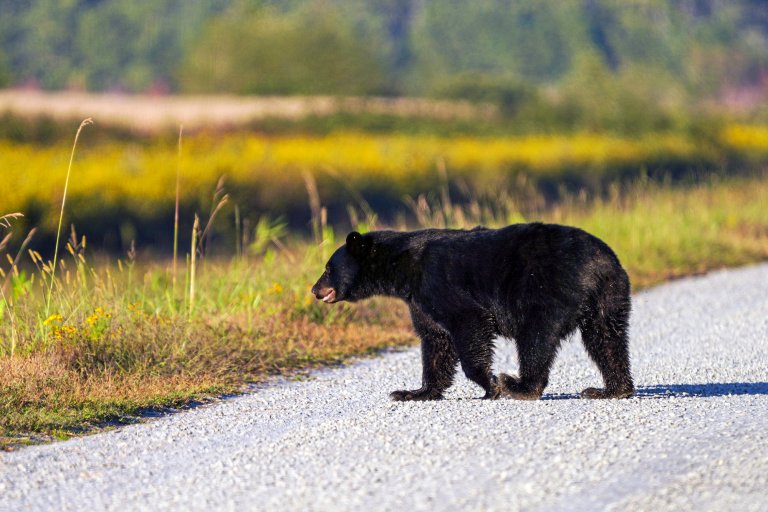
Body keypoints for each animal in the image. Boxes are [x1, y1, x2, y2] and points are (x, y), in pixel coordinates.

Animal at [311, 223, 634, 401]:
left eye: (328, 268)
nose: (314, 289)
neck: (404, 268)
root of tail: (600, 263)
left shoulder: (438, 282)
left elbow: (468, 323)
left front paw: (490, 385)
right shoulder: (419, 300)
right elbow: (435, 342)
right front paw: (413, 393)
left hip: (548, 290)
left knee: (536, 337)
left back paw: (519, 385)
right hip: (609, 297)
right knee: (607, 340)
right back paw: (612, 389)